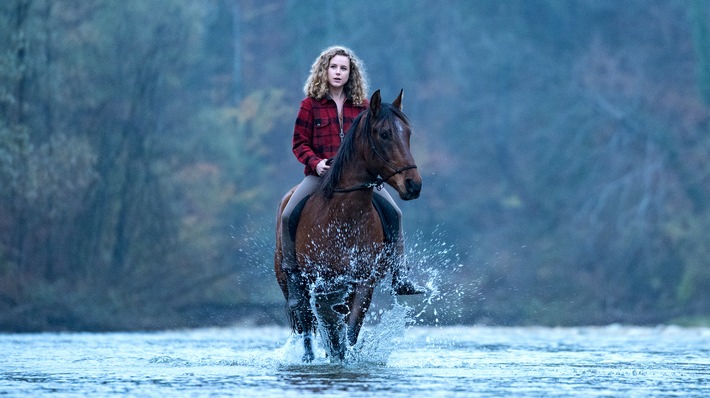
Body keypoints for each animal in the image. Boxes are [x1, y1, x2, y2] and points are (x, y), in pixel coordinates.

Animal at [274, 91, 420, 364]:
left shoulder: (362, 283)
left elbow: (349, 331)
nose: (413, 185)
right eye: (384, 134)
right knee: (305, 324)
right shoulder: (323, 285)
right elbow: (330, 330)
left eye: (408, 133)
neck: (345, 215)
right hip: (291, 286)